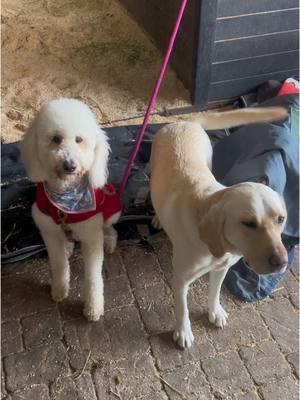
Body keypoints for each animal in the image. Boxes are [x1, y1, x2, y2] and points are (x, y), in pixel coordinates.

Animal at [21, 99, 120, 322]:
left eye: (79, 140)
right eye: (56, 139)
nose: (70, 165)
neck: (66, 201)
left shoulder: (91, 237)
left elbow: (93, 276)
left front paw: (93, 307)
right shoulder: (48, 231)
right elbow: (59, 264)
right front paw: (59, 290)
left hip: (112, 210)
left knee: (110, 228)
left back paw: (109, 240)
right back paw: (67, 245)